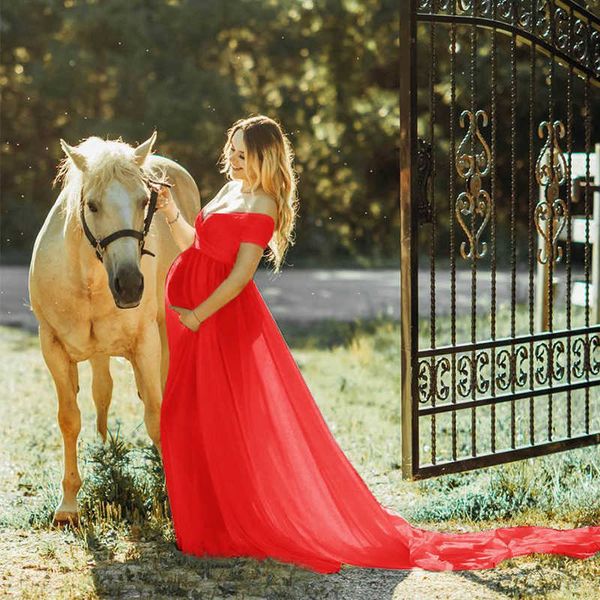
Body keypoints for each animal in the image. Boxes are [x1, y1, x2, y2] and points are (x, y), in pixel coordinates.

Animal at [29, 132, 202, 524]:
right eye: (92, 205)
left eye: (144, 201)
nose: (130, 285)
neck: (89, 281)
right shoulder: (52, 347)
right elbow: (69, 419)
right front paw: (68, 506)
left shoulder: (146, 345)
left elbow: (155, 415)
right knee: (101, 391)